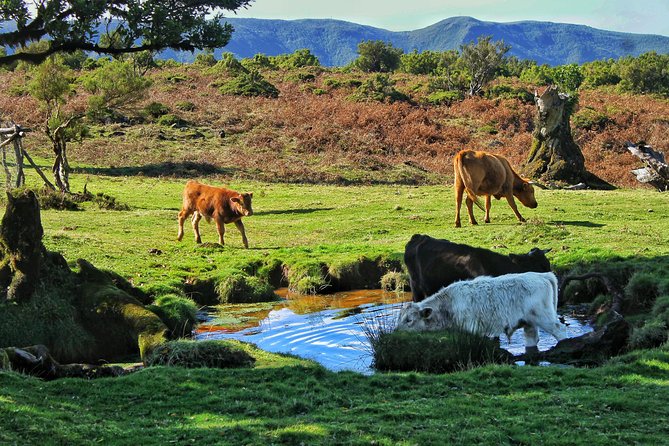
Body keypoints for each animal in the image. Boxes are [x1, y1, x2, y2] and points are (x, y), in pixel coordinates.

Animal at [396, 272, 568, 352]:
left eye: (409, 320)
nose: (396, 333)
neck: (449, 304)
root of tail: (541, 274)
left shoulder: (472, 328)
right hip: (529, 323)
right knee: (532, 339)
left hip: (544, 317)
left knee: (560, 330)